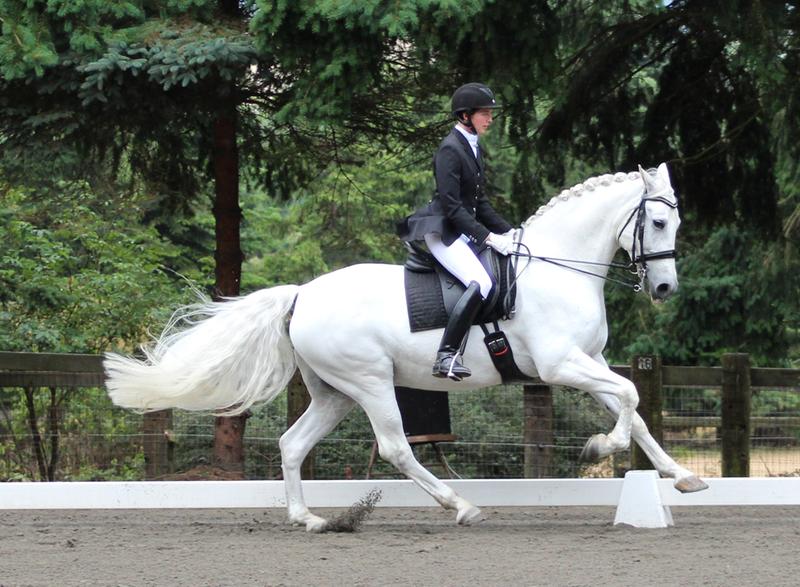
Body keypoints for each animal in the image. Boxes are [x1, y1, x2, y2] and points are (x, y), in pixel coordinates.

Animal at [105, 162, 708, 532]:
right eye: (658, 220)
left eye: (675, 219)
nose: (664, 289)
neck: (558, 268)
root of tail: (302, 294)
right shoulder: (561, 365)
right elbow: (630, 397)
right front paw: (598, 448)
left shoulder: (590, 361)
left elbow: (635, 410)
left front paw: (682, 477)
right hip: (370, 382)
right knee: (396, 448)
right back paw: (460, 506)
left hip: (334, 393)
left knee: (293, 445)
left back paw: (310, 520)